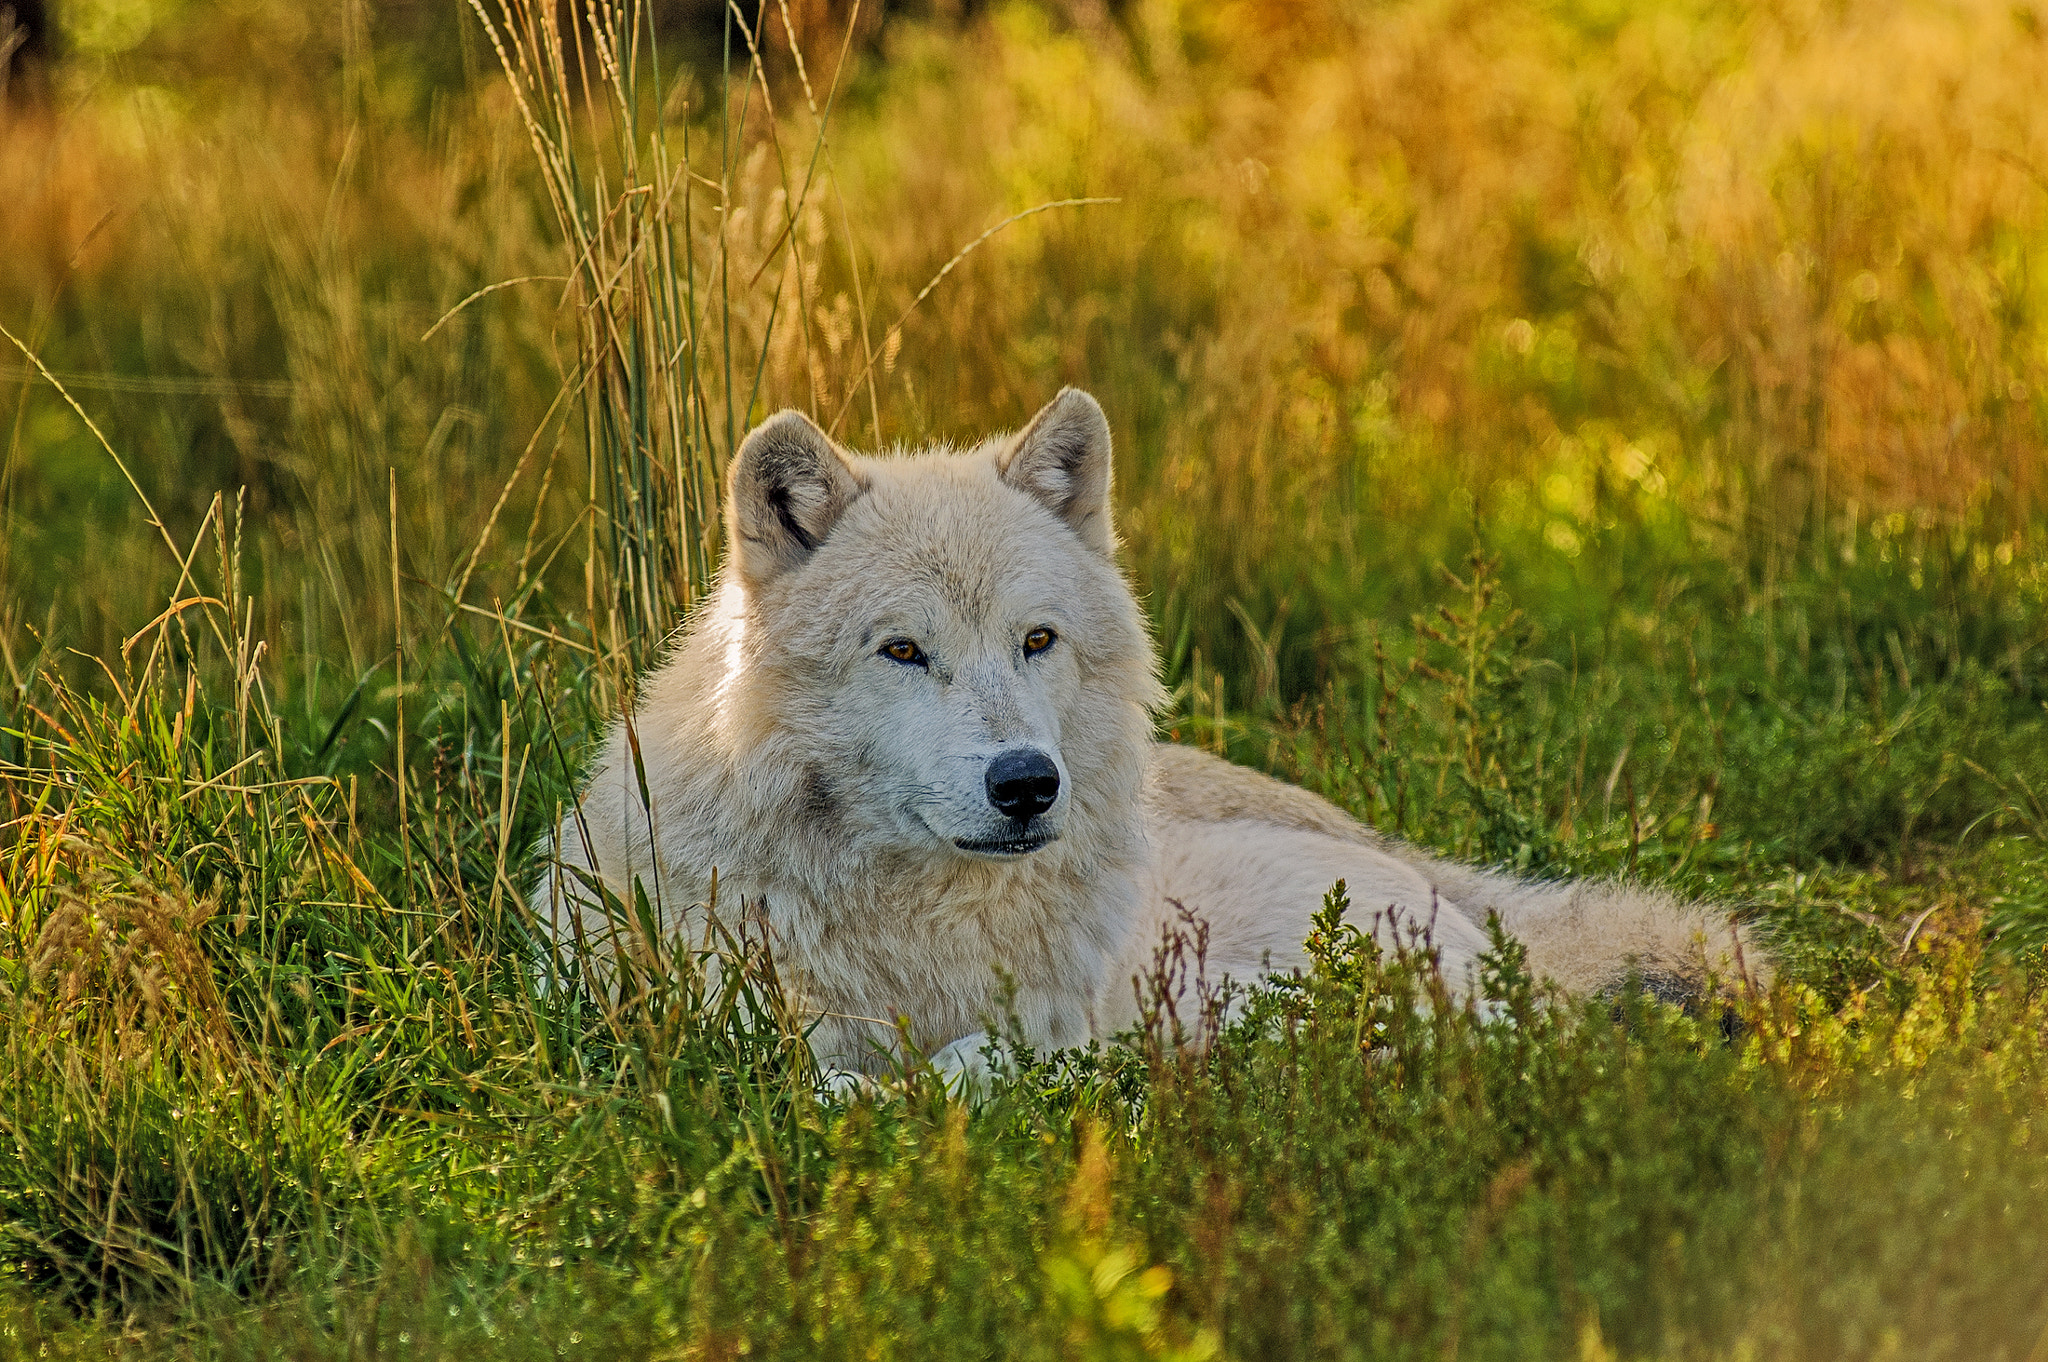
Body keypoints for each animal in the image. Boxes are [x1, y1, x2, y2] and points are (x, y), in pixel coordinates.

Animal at [535, 389, 1755, 1081]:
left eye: (1037, 639)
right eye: (903, 651)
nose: (1027, 783)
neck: (918, 928)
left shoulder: (1053, 1014)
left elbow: (976, 1062)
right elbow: (821, 1073)